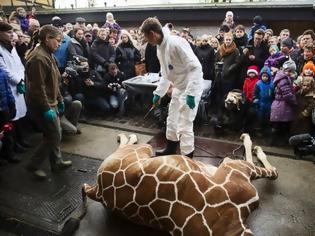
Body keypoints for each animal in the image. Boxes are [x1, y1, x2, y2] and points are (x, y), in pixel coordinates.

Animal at [83, 134, 278, 235]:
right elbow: (272, 171)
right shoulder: (236, 167)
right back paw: (126, 135)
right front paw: (252, 143)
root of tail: (97, 190)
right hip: (144, 150)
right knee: (127, 145)